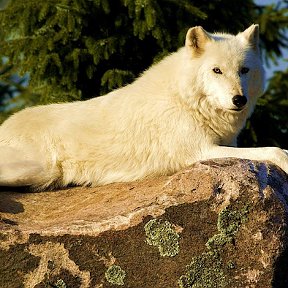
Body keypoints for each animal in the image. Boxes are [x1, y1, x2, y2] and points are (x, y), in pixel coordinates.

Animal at [0, 24, 288, 190]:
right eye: (216, 70)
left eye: (244, 70)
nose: (239, 100)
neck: (185, 101)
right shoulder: (200, 150)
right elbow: (274, 150)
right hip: (38, 171)